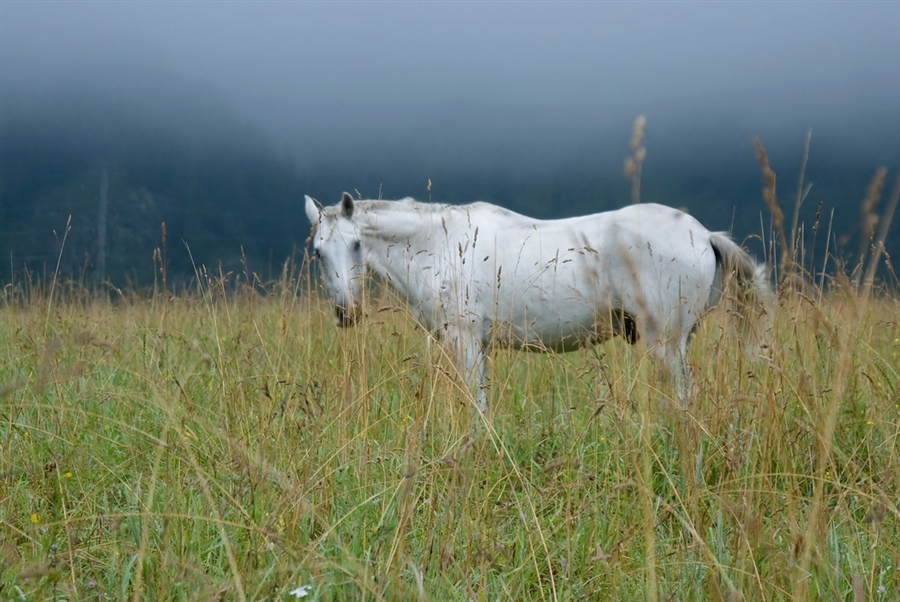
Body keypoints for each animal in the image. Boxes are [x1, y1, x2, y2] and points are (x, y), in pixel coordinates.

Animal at [304, 192, 768, 408]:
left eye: (357, 245)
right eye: (318, 252)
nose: (347, 312)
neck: (439, 245)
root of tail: (703, 234)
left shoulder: (465, 341)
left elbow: (478, 404)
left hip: (665, 342)